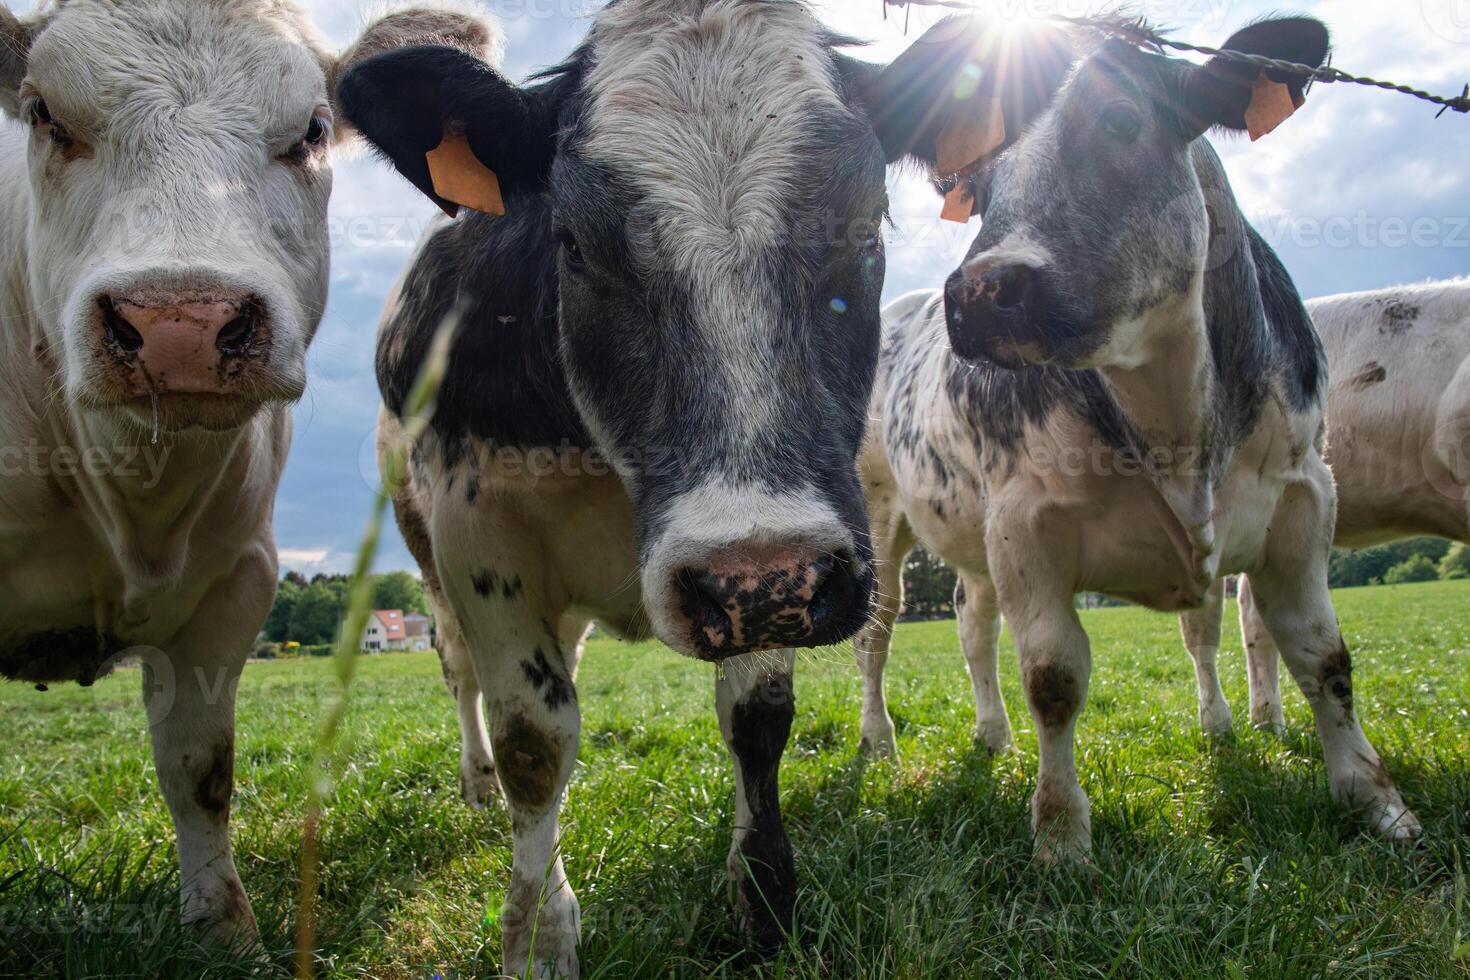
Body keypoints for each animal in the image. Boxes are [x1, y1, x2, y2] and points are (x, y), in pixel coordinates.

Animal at [0, 0, 499, 946]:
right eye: (45, 114)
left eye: (310, 131)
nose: (179, 323)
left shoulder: (237, 581)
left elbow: (199, 766)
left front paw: (222, 925)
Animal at [338, 3, 1076, 975]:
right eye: (573, 244)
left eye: (868, 226)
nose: (756, 578)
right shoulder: (479, 534)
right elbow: (535, 741)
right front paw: (538, 936)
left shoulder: (785, 567)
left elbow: (757, 720)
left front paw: (763, 900)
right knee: (465, 678)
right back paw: (477, 782)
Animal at [858, 15, 1417, 858]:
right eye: (978, 185)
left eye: (1120, 120)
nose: (982, 290)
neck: (1173, 415)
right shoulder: (1024, 521)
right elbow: (1053, 678)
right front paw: (1061, 834)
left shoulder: (1303, 494)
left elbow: (1323, 655)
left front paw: (1375, 799)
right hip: (878, 515)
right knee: (878, 631)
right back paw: (881, 742)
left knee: (975, 623)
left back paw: (995, 734)